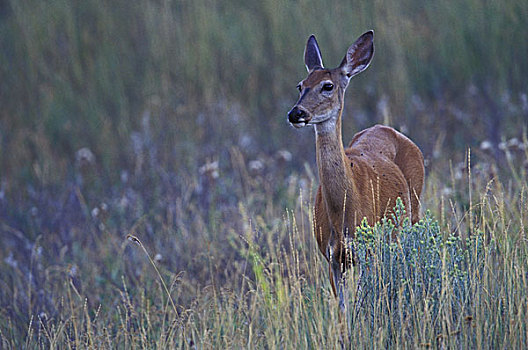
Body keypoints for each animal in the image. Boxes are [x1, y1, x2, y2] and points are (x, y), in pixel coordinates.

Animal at [286, 31, 426, 314]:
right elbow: (343, 311)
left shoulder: (366, 250)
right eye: (300, 85)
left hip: (414, 212)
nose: (296, 113)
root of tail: (387, 128)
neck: (345, 211)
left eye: (327, 86)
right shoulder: (332, 256)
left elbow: (362, 303)